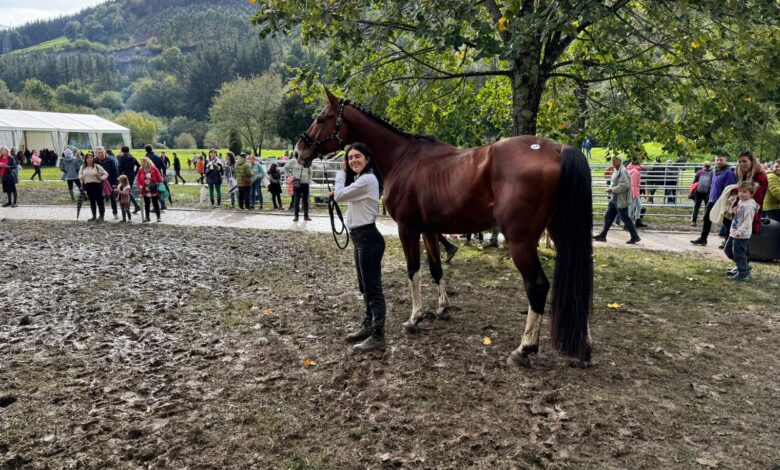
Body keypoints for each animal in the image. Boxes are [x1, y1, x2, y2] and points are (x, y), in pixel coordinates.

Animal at [296, 89, 596, 368]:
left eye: (321, 118)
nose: (300, 151)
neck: (403, 157)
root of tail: (558, 149)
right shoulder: (429, 229)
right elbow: (436, 268)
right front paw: (442, 308)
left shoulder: (408, 228)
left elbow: (414, 271)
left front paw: (414, 318)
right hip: (560, 234)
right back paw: (584, 347)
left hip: (521, 241)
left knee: (537, 286)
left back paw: (524, 349)